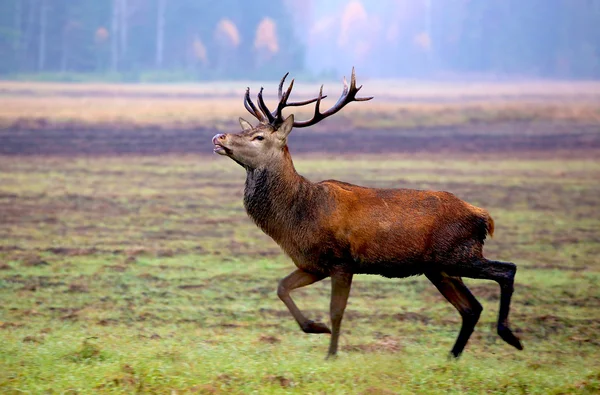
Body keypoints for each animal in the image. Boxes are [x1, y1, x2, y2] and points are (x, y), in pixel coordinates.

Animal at [213, 68, 524, 358]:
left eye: (258, 136)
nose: (219, 136)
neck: (298, 214)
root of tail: (484, 217)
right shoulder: (312, 264)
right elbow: (281, 287)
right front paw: (314, 327)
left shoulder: (341, 261)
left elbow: (336, 311)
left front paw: (331, 353)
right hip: (439, 267)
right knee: (471, 307)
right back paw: (453, 357)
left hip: (458, 255)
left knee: (507, 270)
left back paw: (509, 335)